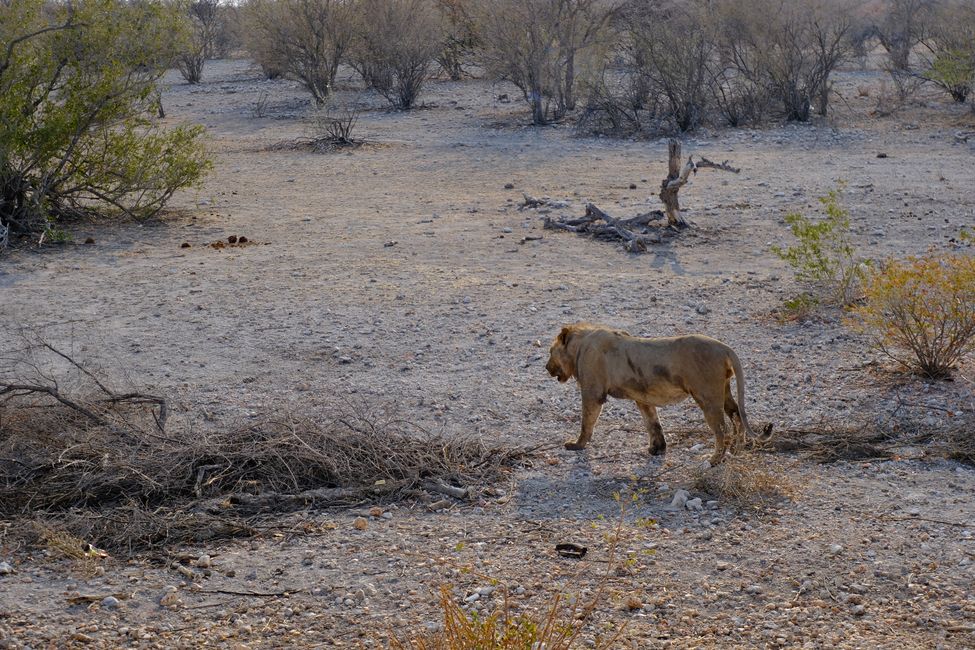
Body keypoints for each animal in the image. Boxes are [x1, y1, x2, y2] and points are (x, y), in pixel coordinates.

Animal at [544, 322, 768, 466]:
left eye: (550, 351)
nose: (546, 367)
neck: (580, 345)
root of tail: (724, 347)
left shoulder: (593, 392)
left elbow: (586, 422)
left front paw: (576, 445)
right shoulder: (642, 397)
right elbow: (652, 422)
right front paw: (657, 449)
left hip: (707, 396)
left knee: (722, 429)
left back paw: (714, 460)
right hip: (724, 390)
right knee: (737, 414)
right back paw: (737, 450)